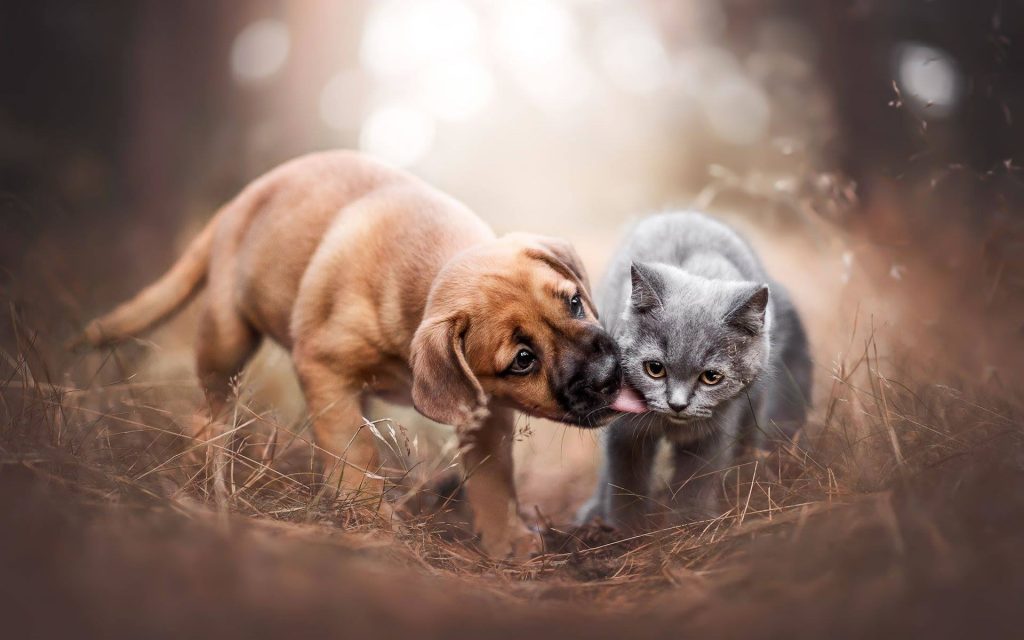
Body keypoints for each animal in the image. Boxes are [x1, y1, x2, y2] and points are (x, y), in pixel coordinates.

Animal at [75, 152, 618, 557]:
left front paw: (507, 538)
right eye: (523, 358)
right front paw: (368, 517)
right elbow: (354, 452)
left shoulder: (482, 407)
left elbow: (492, 476)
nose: (611, 373)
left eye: (574, 302)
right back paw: (206, 467)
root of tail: (237, 204)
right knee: (209, 412)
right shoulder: (325, 370)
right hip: (226, 338)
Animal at [581, 209, 811, 528]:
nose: (677, 404)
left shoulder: (713, 431)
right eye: (655, 369)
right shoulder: (626, 432)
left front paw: (692, 524)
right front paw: (629, 529)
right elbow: (625, 484)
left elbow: (696, 482)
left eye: (711, 377)